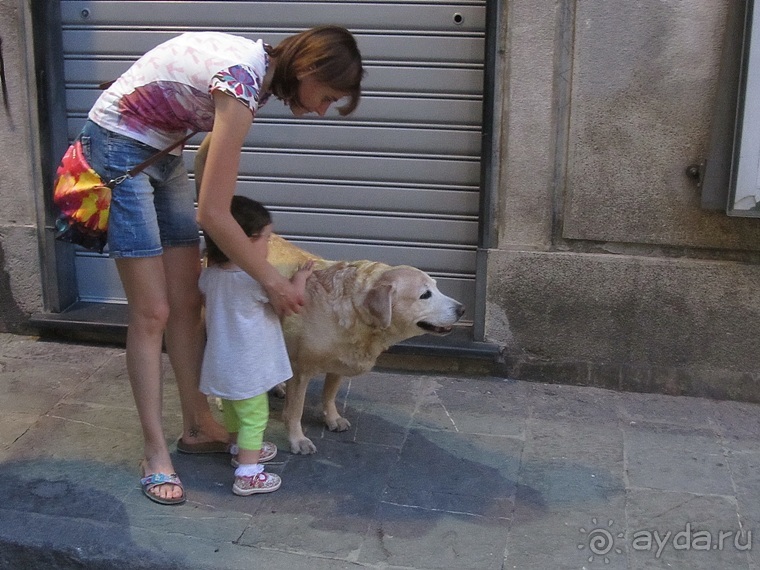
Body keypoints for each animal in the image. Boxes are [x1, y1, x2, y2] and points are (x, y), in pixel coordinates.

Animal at [270, 232, 466, 452]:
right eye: (425, 295)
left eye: (436, 287)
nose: (462, 309)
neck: (353, 310)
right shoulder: (301, 370)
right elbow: (295, 410)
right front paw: (298, 439)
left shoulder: (341, 362)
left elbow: (329, 394)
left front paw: (332, 418)